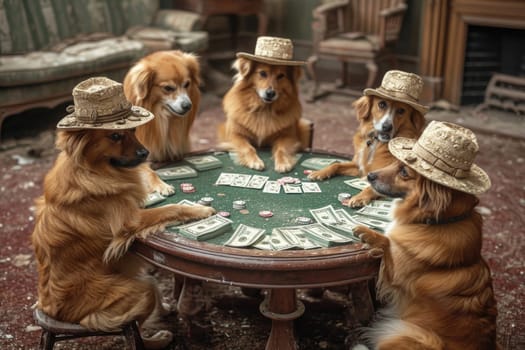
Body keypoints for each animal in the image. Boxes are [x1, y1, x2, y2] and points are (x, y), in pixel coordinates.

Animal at [32, 78, 215, 348]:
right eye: (116, 135)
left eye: (133, 132)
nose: (145, 154)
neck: (93, 171)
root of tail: (50, 313)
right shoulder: (130, 220)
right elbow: (170, 208)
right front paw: (199, 209)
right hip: (139, 292)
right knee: (135, 328)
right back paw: (159, 337)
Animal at [123, 50, 203, 194]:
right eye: (168, 88)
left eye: (187, 84)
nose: (188, 106)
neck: (163, 119)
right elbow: (148, 171)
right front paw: (160, 185)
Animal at [217, 37, 312, 174]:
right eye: (262, 73)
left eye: (281, 76)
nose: (270, 93)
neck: (264, 110)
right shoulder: (234, 135)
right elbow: (248, 147)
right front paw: (255, 161)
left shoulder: (288, 136)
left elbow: (281, 149)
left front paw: (283, 162)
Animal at [308, 71, 426, 208]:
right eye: (382, 104)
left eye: (401, 110)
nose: (387, 127)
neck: (377, 142)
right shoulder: (360, 168)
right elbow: (336, 164)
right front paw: (319, 173)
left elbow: (372, 187)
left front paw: (359, 197)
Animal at [350, 121, 498, 350]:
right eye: (395, 164)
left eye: (403, 171)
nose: (369, 176)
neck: (438, 222)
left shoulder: (396, 274)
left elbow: (387, 243)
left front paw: (368, 233)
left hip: (415, 334)